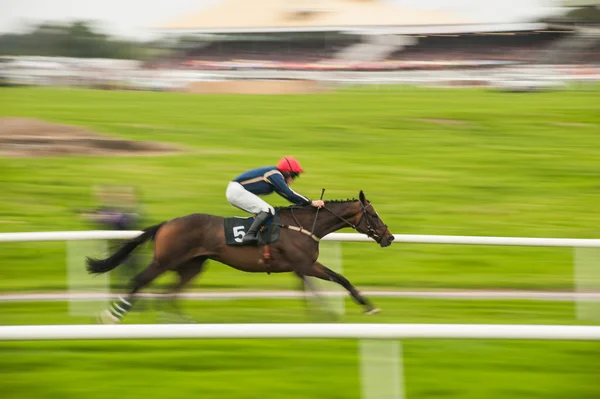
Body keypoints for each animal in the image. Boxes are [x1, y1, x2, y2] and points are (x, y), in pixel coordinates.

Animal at [85, 189, 394, 324]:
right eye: (373, 214)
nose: (389, 237)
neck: (306, 225)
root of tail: (165, 224)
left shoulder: (299, 267)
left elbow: (311, 289)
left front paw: (321, 314)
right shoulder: (307, 264)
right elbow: (339, 278)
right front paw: (366, 307)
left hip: (192, 266)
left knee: (171, 292)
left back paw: (178, 320)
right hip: (165, 261)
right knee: (140, 281)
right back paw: (112, 315)